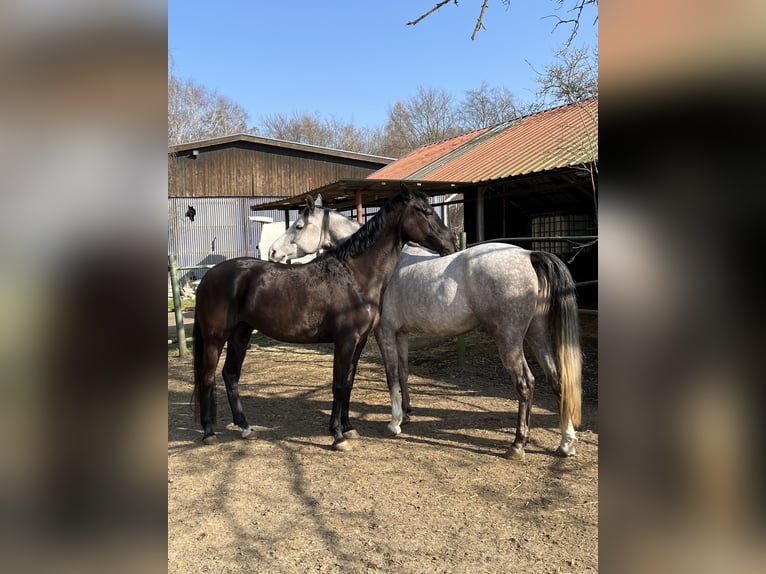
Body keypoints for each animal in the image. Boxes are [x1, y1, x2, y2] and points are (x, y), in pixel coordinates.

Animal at [194, 187, 456, 452]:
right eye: (426, 211)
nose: (451, 242)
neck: (354, 276)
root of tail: (208, 277)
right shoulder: (345, 340)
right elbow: (338, 384)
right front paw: (338, 436)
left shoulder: (359, 341)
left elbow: (348, 382)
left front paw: (348, 428)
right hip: (215, 339)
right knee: (207, 377)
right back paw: (208, 432)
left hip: (241, 333)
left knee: (230, 375)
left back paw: (245, 427)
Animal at [270, 196, 584, 462]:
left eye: (298, 226)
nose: (272, 251)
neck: (376, 266)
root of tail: (529, 254)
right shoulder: (402, 334)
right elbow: (404, 372)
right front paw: (407, 414)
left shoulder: (385, 333)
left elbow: (391, 375)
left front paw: (394, 422)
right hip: (536, 335)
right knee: (558, 381)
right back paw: (566, 443)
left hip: (509, 339)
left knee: (526, 384)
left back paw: (518, 444)